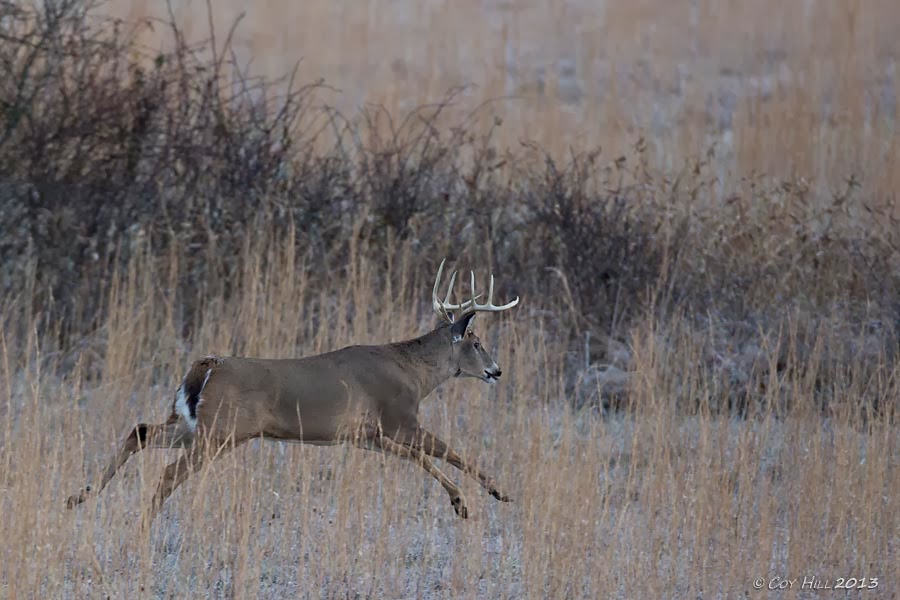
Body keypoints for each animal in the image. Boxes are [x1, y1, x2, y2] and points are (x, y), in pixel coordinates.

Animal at [66, 258, 520, 527]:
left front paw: (464, 501)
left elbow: (421, 459)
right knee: (167, 471)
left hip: (192, 424)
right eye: (476, 342)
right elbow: (449, 451)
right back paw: (142, 522)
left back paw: (79, 496)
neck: (413, 374)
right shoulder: (399, 418)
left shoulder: (367, 435)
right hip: (220, 430)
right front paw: (492, 493)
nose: (497, 371)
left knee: (140, 430)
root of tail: (206, 365)